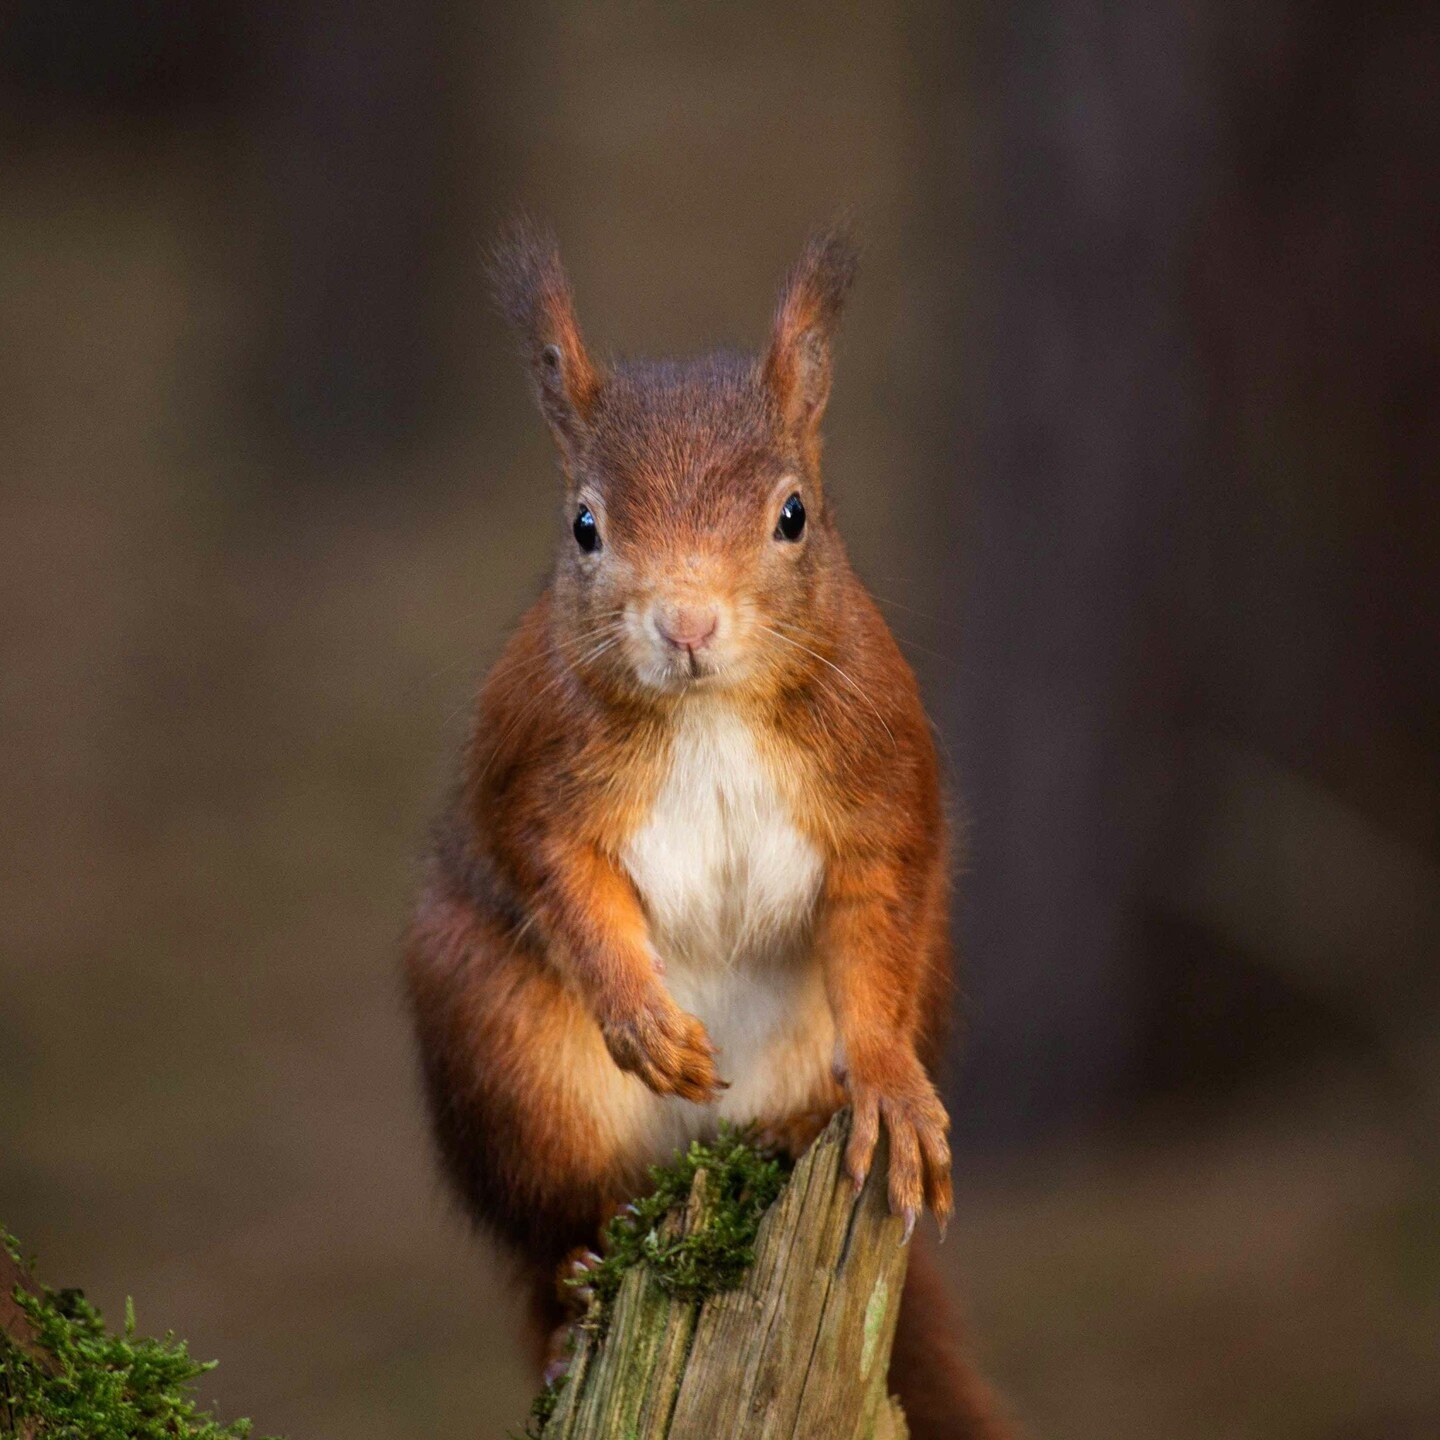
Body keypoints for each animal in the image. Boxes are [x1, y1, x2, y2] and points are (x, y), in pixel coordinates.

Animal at [406, 224, 1013, 1440]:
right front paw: (643, 1018)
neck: (711, 712)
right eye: (584, 525)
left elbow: (875, 931)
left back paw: (802, 1128)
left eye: (794, 514)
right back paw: (570, 1304)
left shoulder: (880, 789)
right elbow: (560, 879)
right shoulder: (535, 775)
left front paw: (890, 1086)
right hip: (500, 1049)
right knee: (558, 1234)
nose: (685, 621)